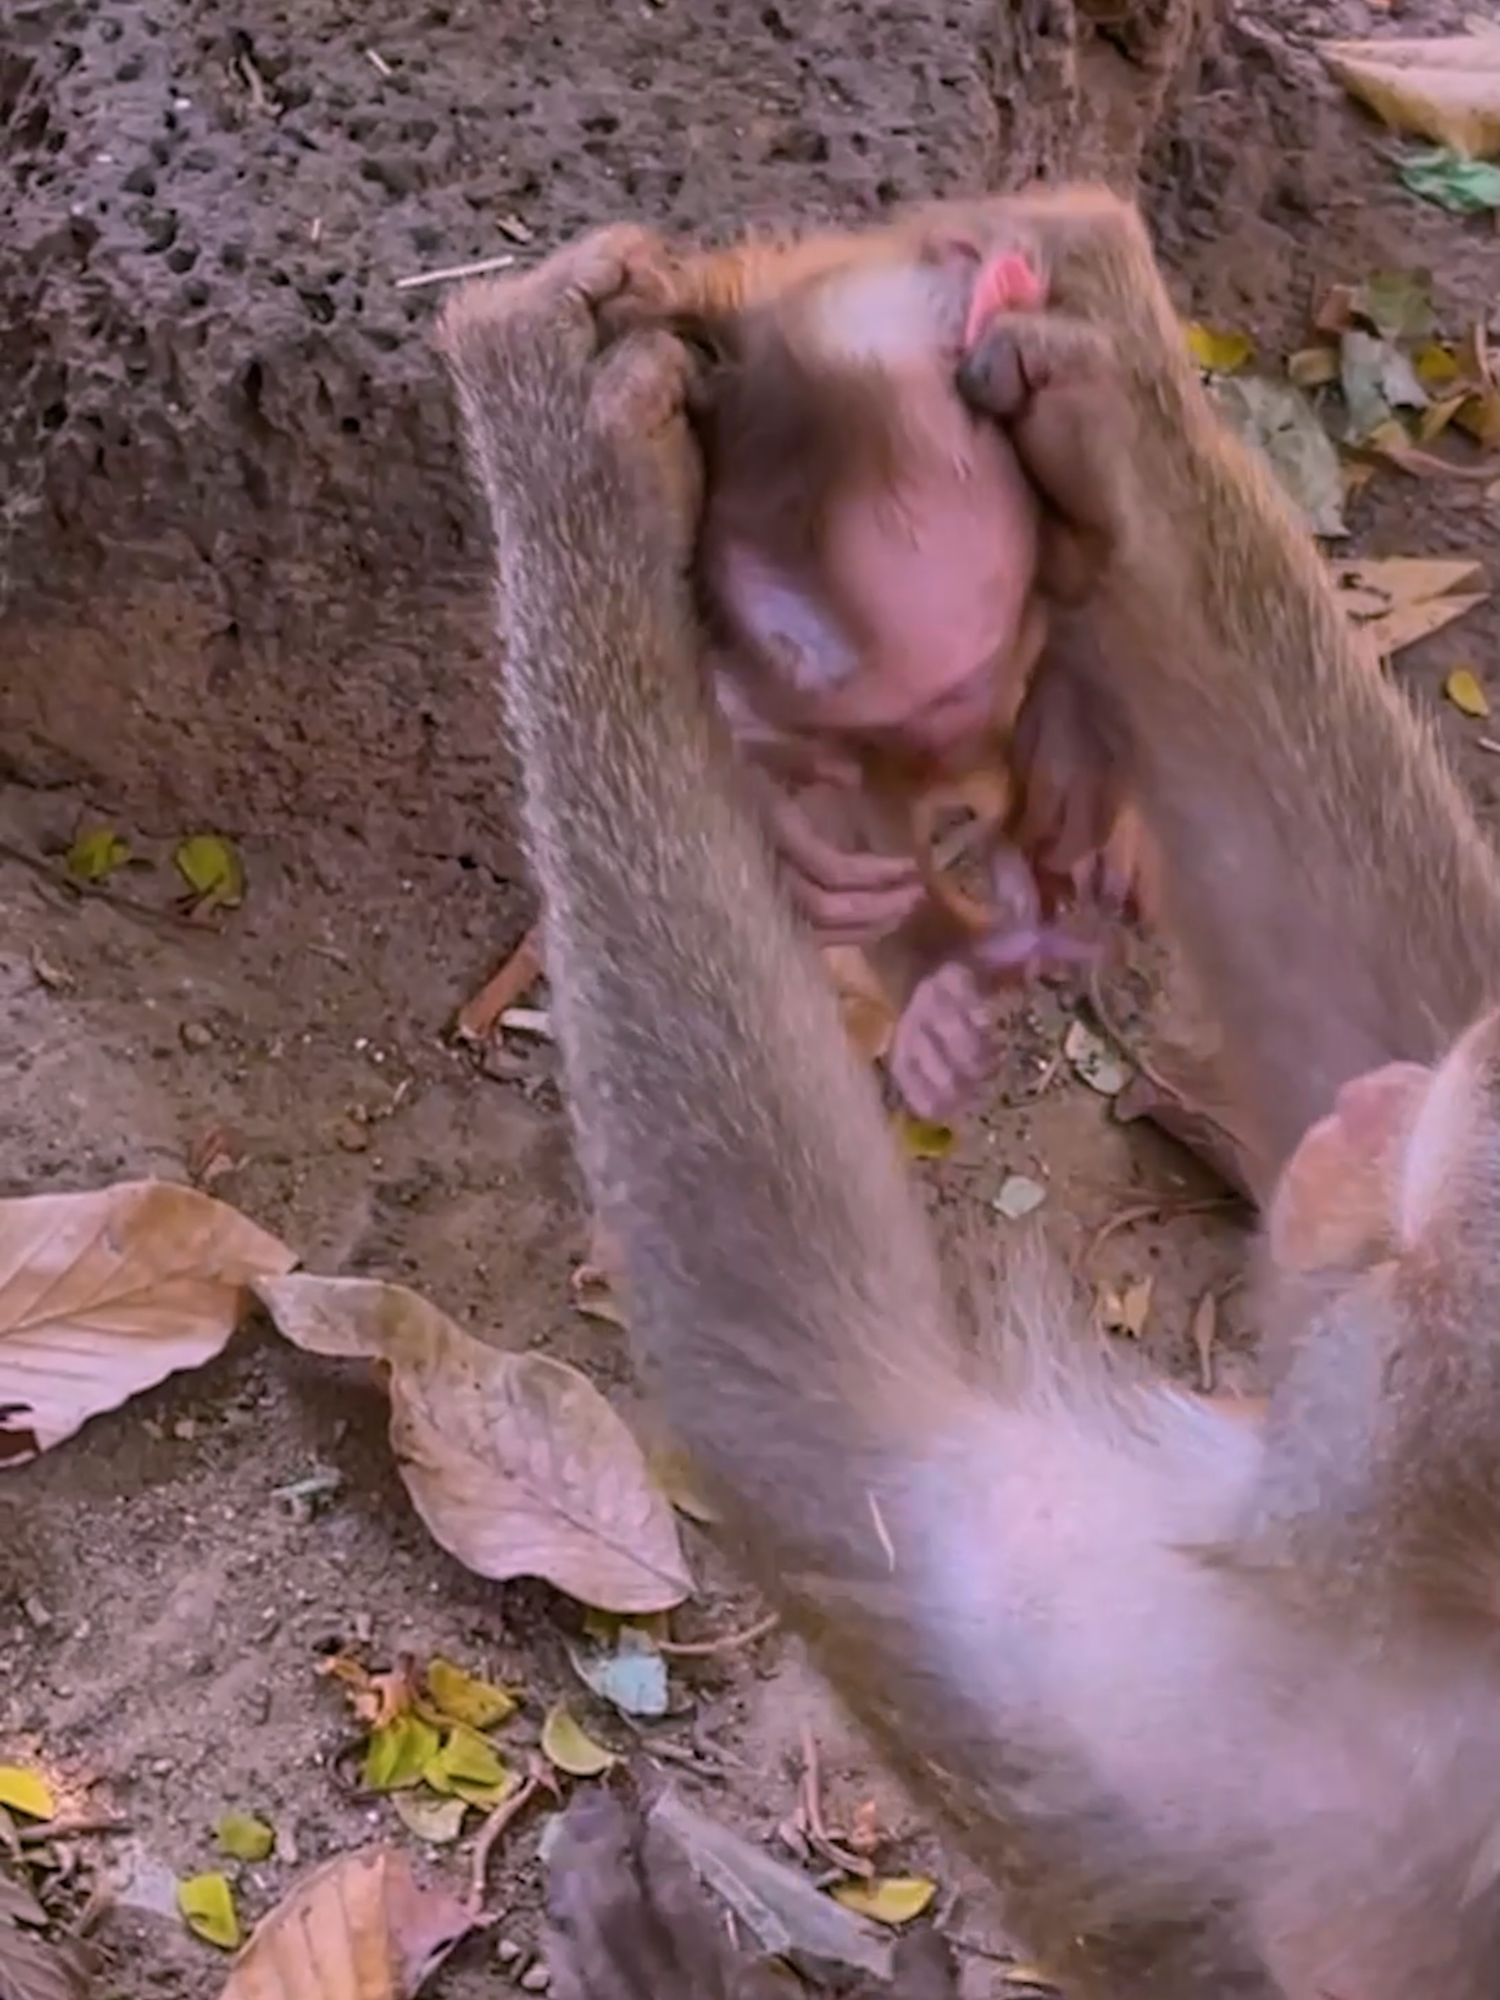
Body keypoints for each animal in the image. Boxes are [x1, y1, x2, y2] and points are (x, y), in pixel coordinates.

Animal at [434, 214, 1499, 1999]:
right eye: (1438, 1111)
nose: (1371, 1119)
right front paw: (1113, 383)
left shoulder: (1249, 1713)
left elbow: (816, 1417)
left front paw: (564, 457)